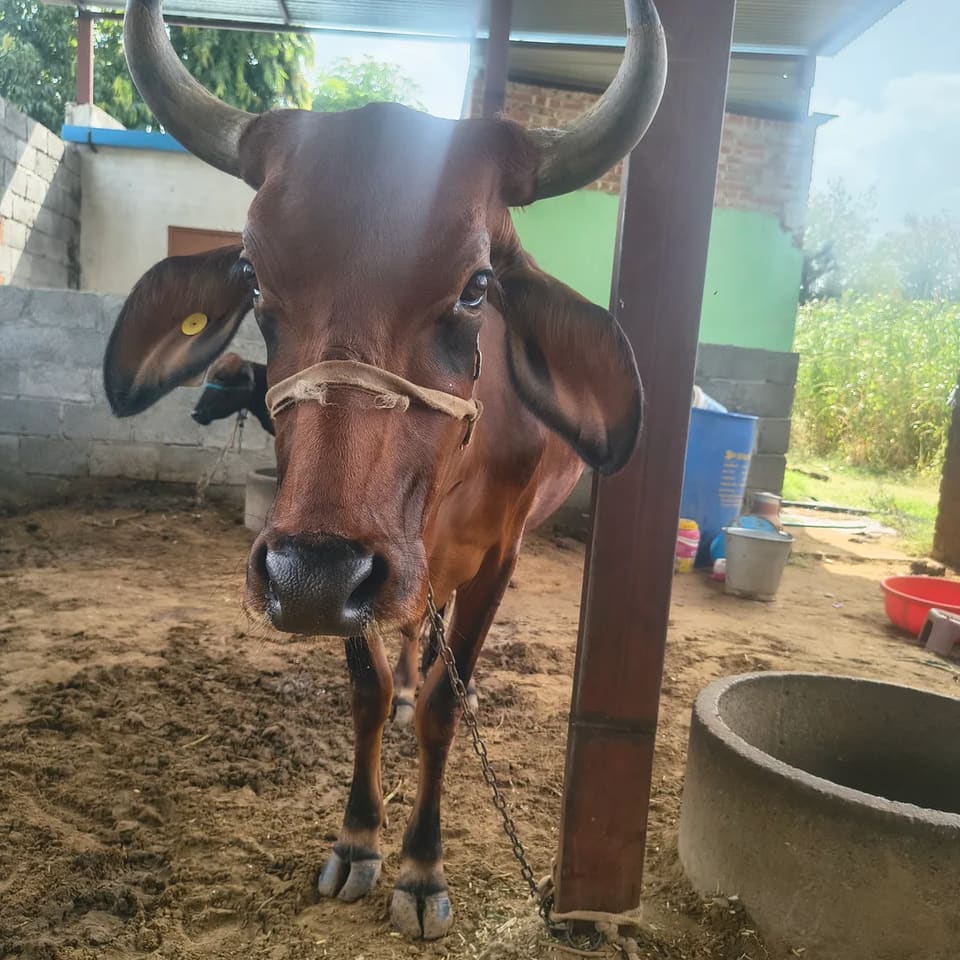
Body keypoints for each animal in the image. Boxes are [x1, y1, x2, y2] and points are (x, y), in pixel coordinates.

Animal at [103, 0, 666, 940]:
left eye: (477, 284)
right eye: (252, 275)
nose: (311, 575)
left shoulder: (498, 559)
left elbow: (445, 703)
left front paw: (421, 867)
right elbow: (366, 689)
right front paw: (359, 839)